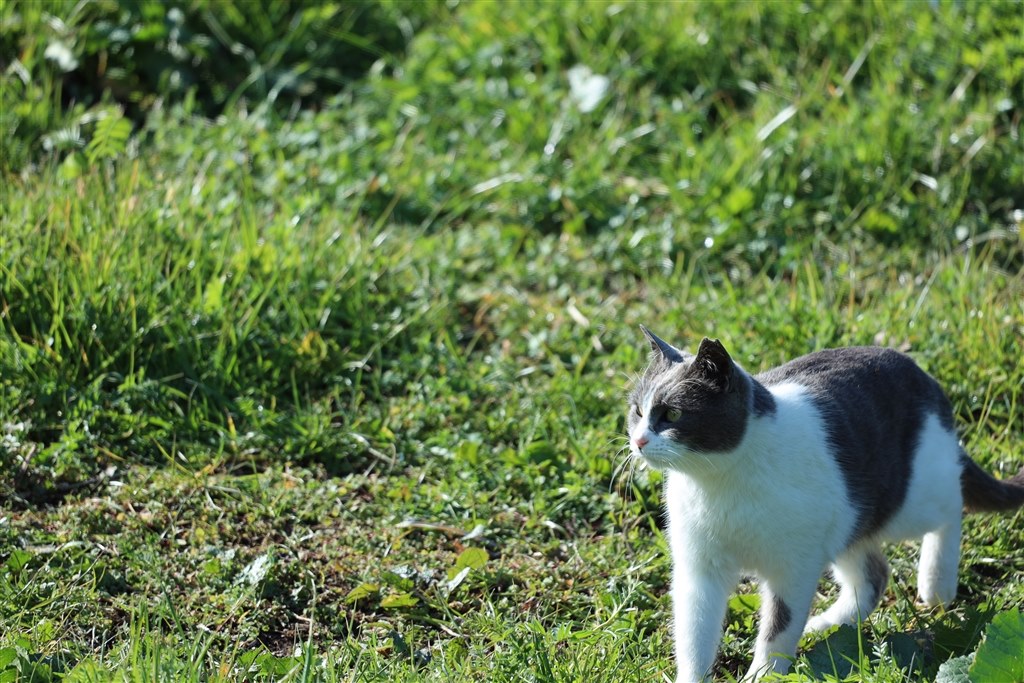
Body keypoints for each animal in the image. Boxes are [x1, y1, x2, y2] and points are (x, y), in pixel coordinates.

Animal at [622, 327, 1024, 679]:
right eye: (638, 411)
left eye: (672, 414)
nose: (639, 441)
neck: (717, 482)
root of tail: (923, 377)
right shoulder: (699, 567)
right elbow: (694, 635)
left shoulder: (794, 567)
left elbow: (778, 629)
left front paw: (765, 675)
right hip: (847, 519)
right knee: (873, 575)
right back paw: (825, 626)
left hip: (909, 497)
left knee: (951, 504)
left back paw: (936, 582)